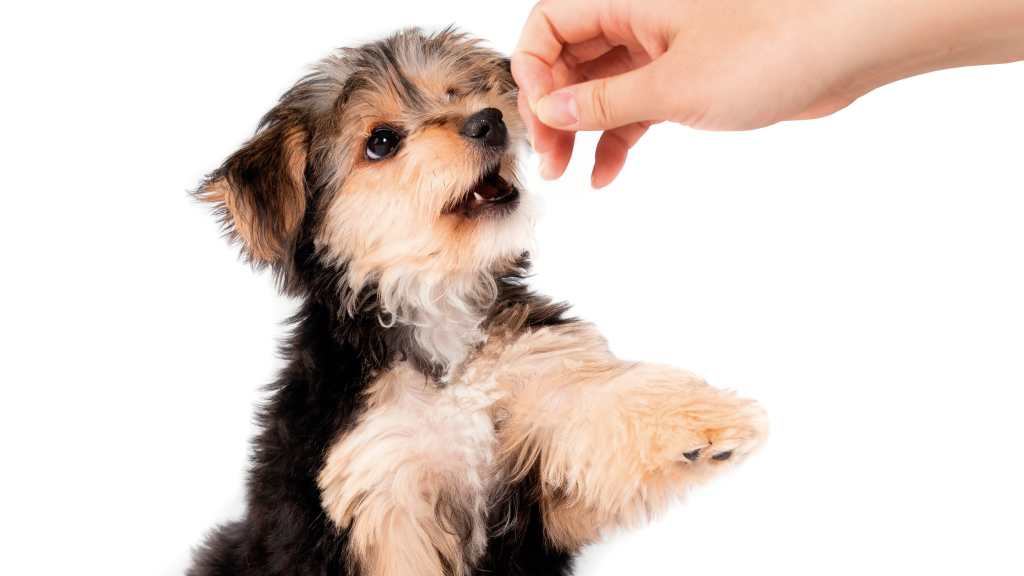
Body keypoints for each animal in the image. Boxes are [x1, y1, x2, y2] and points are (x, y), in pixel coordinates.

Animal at [189, 28, 767, 576]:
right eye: (381, 142)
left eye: (457, 94)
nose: (488, 120)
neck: (438, 306)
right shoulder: (383, 493)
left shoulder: (539, 389)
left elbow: (600, 396)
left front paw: (700, 419)